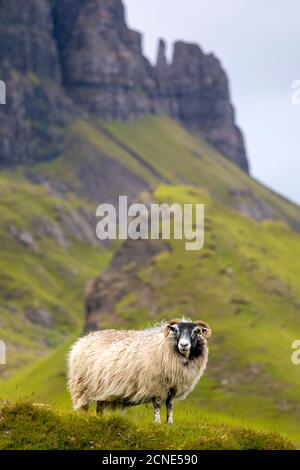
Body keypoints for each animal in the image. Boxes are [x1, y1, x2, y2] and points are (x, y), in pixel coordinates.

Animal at [68, 318, 211, 424]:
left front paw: (170, 423)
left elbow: (169, 405)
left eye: (196, 331)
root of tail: (81, 341)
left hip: (100, 390)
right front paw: (157, 423)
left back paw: (100, 419)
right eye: (175, 330)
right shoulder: (156, 385)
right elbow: (157, 405)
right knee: (82, 407)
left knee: (99, 407)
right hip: (81, 386)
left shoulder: (173, 386)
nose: (184, 345)